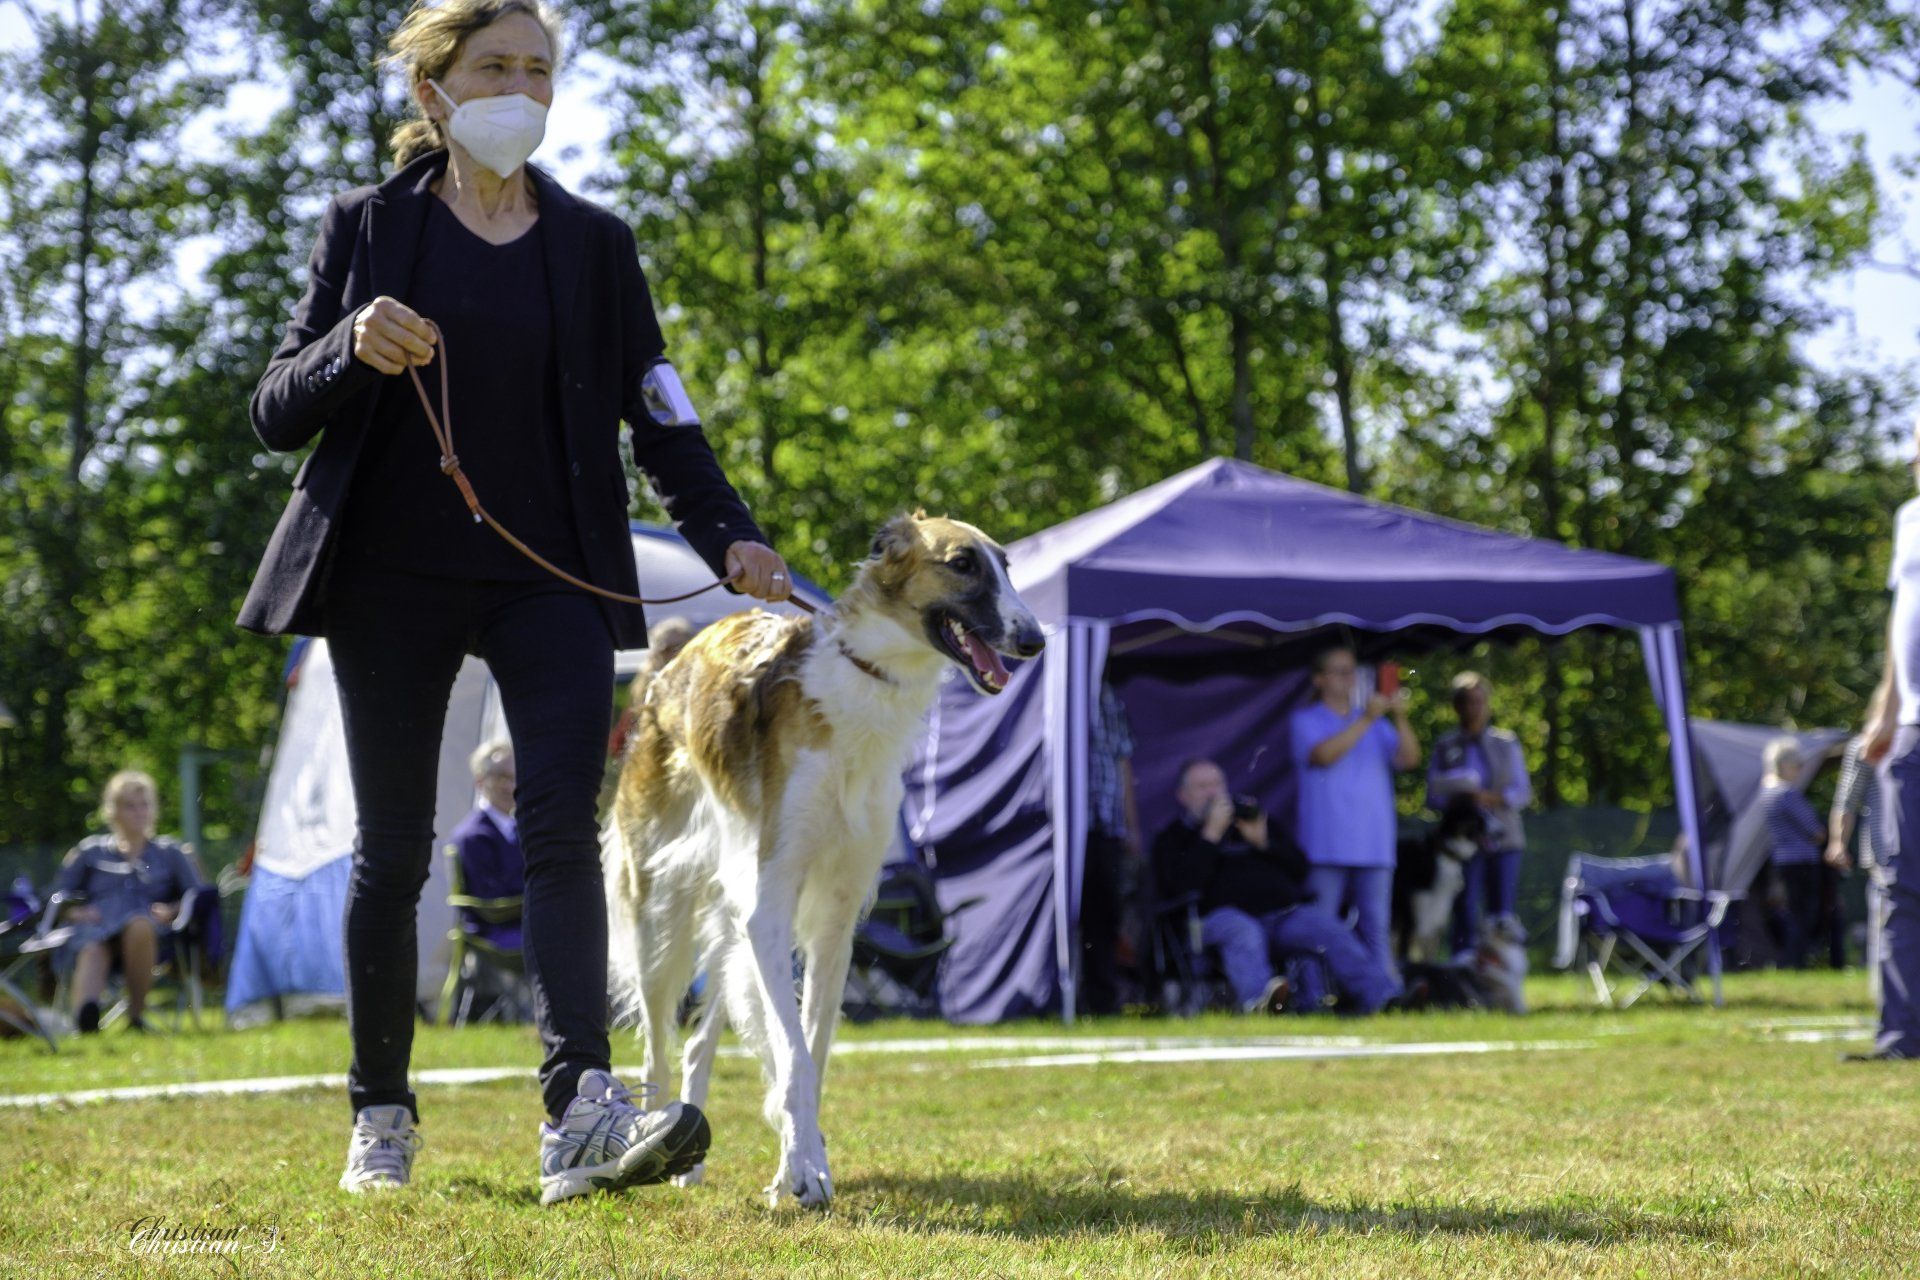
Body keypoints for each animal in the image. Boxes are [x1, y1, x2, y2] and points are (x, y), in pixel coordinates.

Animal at [601, 512, 1042, 1209]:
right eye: (962, 564)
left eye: (1006, 564)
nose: (1036, 641)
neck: (864, 680)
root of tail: (669, 668)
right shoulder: (773, 900)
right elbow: (795, 1058)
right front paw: (805, 1168)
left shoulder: (834, 917)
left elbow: (810, 1050)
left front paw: (797, 1167)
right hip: (660, 916)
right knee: (658, 1051)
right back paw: (651, 1141)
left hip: (732, 920)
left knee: (699, 1045)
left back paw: (691, 1157)